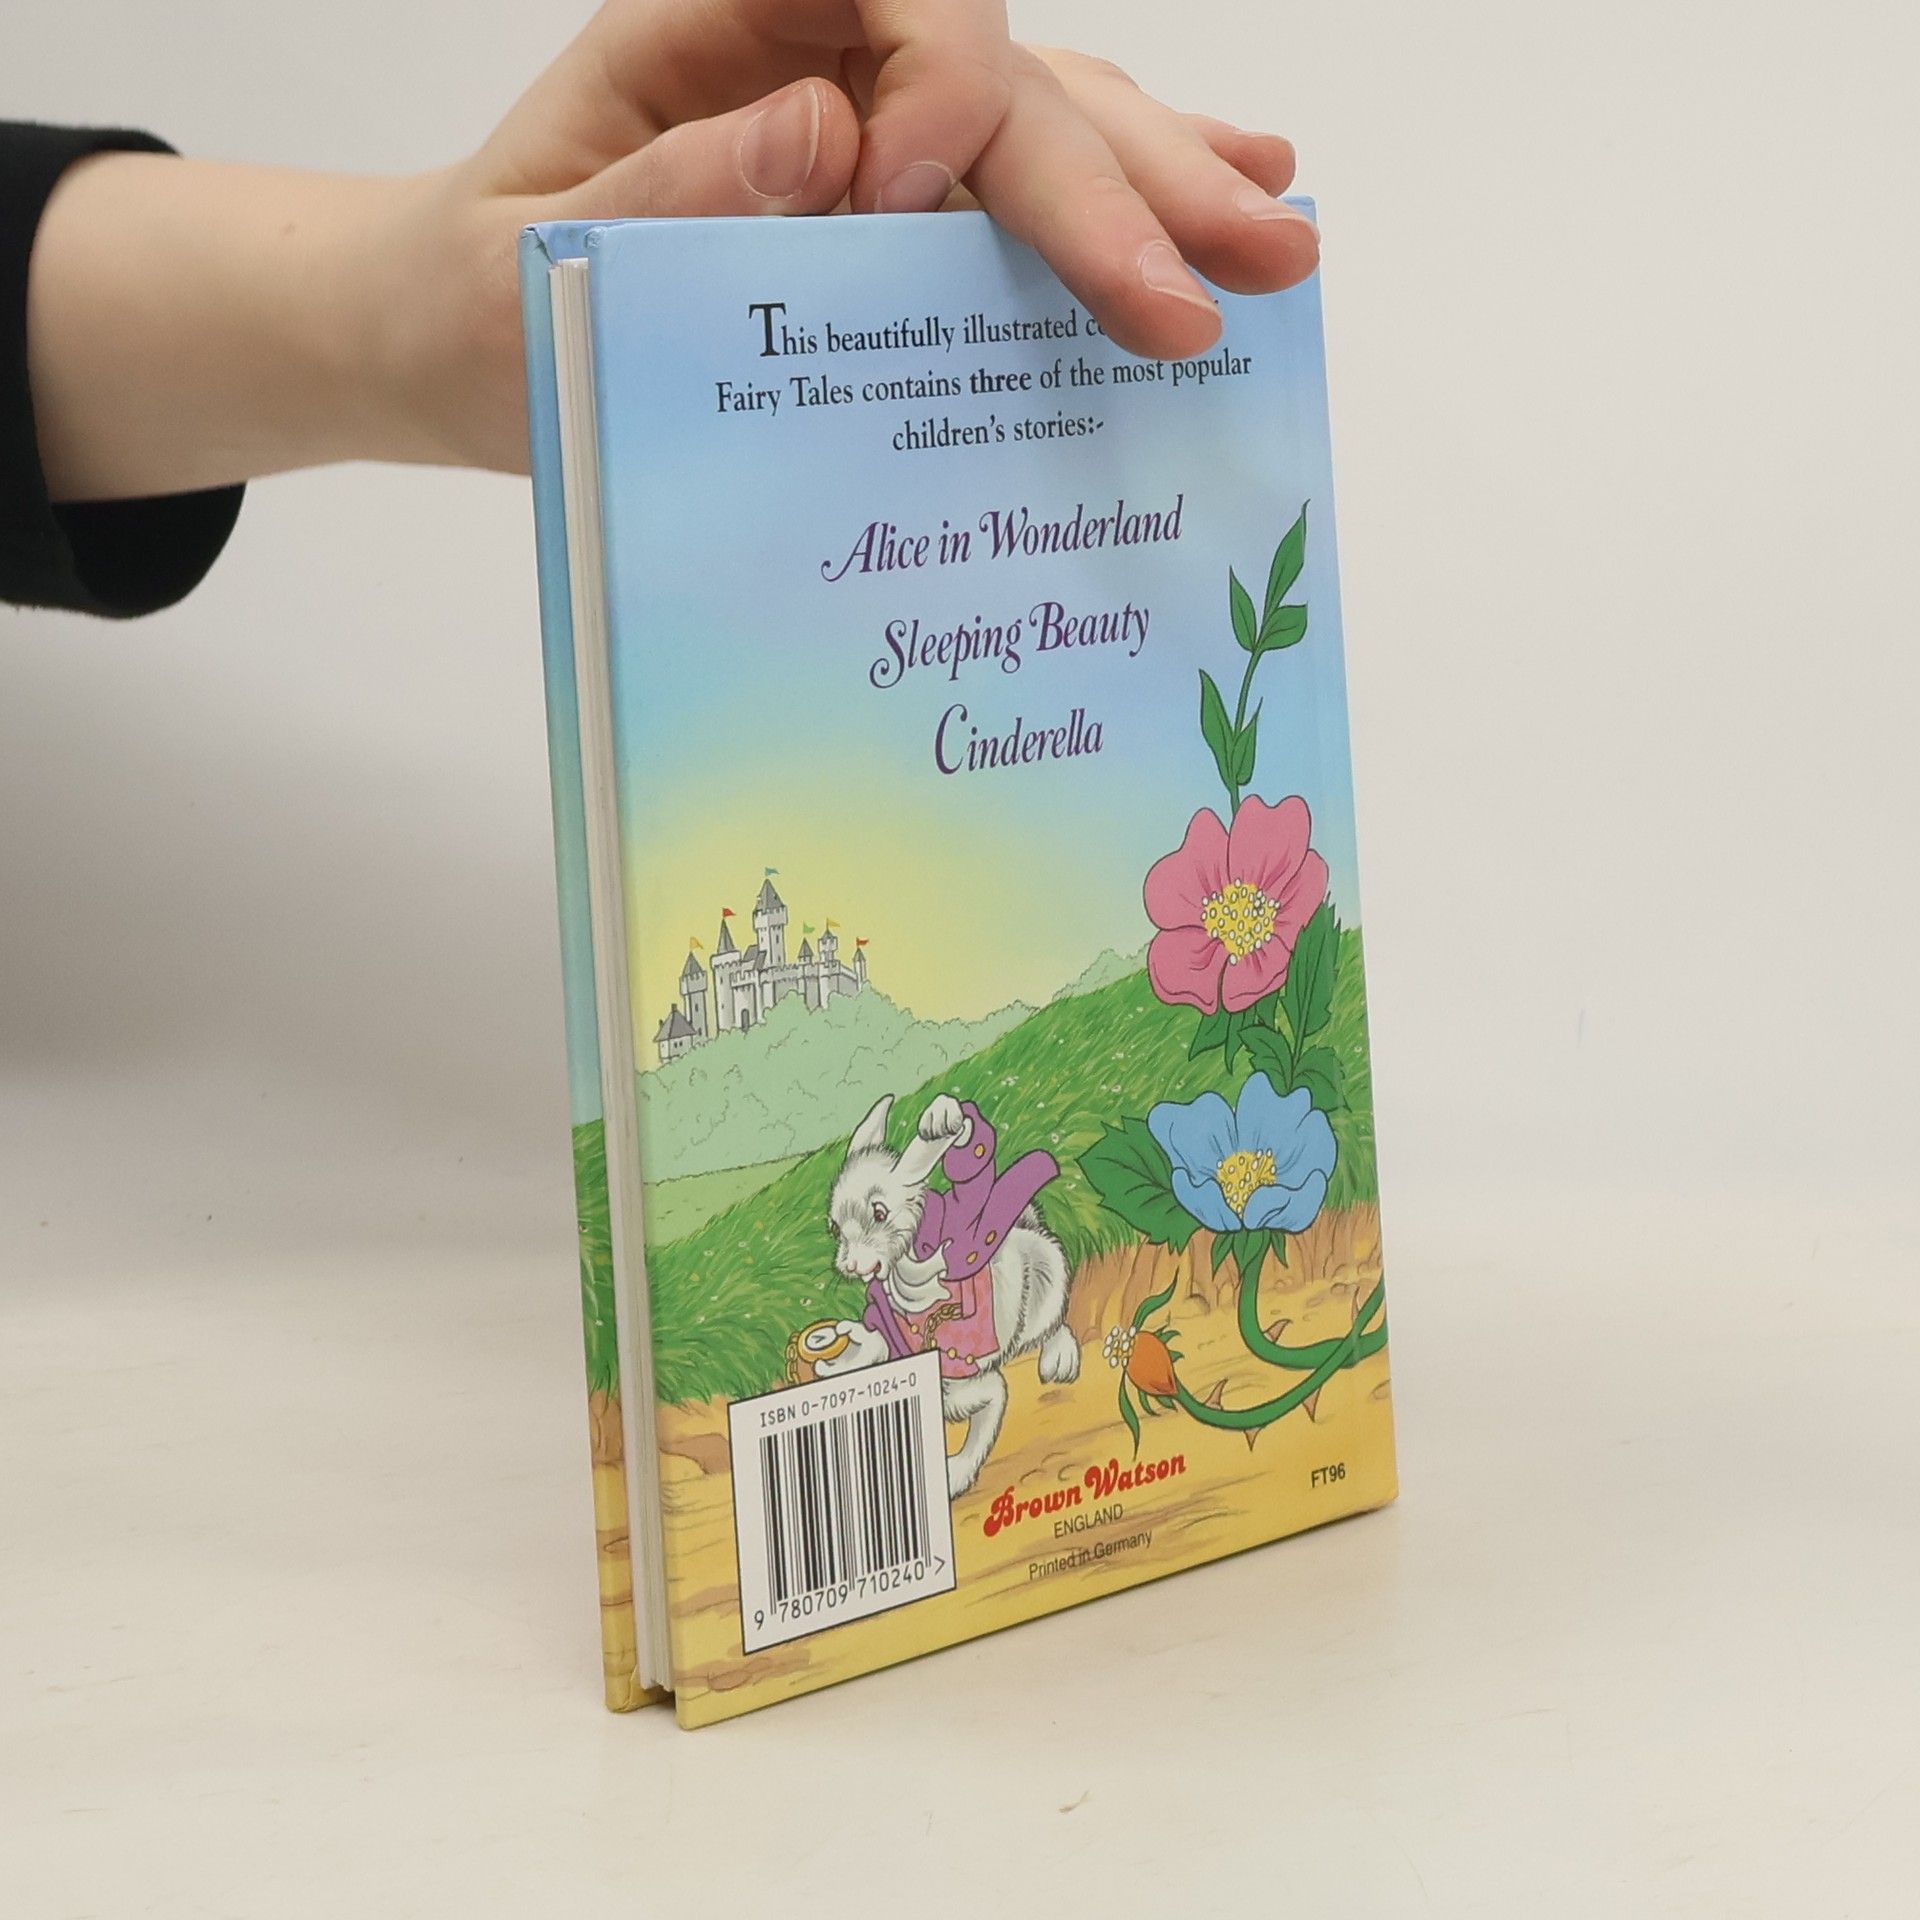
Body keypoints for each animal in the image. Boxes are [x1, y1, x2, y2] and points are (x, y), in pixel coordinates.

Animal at [811, 1090, 1079, 1499]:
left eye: (879, 1213)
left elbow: (982, 1421)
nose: (850, 1265)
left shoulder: (977, 1387)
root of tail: (1031, 1229)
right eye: (834, 1227)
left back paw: (1060, 1359)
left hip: (1046, 1278)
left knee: (1051, 1325)